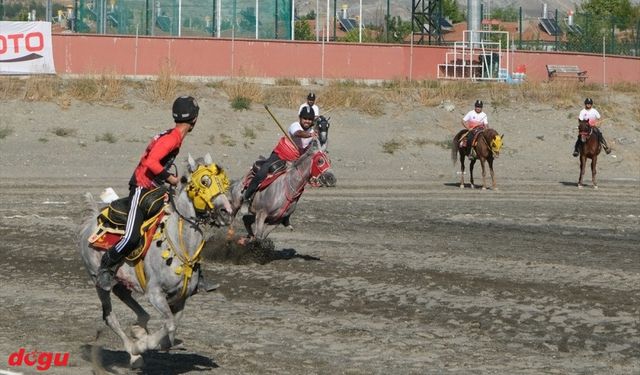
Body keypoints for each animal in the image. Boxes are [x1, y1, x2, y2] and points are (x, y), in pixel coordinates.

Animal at [78, 154, 231, 368]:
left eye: (224, 182)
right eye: (205, 181)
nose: (227, 211)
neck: (179, 242)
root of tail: (92, 221)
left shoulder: (181, 298)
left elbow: (172, 330)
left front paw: (149, 338)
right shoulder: (155, 294)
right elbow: (170, 324)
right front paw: (142, 345)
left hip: (123, 280)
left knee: (127, 299)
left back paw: (138, 329)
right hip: (98, 281)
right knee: (109, 316)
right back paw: (134, 353)